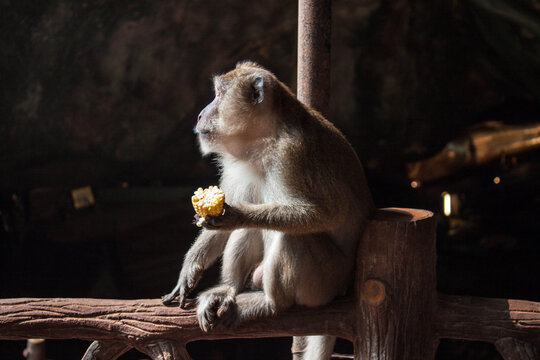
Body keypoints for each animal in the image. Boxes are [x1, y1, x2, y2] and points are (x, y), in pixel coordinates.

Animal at [162, 60, 374, 358]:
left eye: (218, 94)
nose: (201, 114)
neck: (262, 142)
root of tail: (344, 289)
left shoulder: (292, 154)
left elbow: (326, 213)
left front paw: (236, 215)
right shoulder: (235, 163)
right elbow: (225, 224)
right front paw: (189, 270)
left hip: (324, 285)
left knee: (292, 237)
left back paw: (271, 304)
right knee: (250, 230)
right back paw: (228, 289)